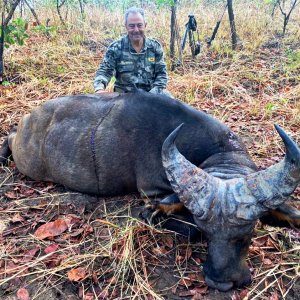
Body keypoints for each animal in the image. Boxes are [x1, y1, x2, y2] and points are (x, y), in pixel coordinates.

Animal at [0, 90, 300, 292]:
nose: (221, 283)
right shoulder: (152, 194)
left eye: (248, 233)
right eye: (206, 233)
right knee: (9, 136)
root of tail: (29, 119)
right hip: (26, 160)